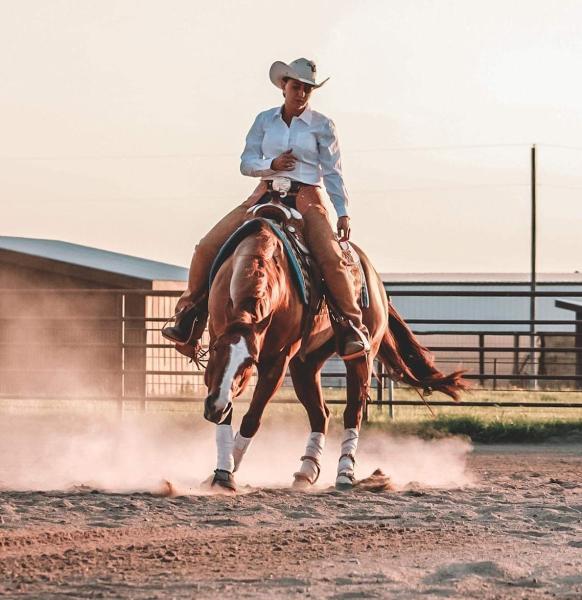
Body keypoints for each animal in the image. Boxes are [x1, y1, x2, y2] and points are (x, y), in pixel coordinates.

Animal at [201, 218, 466, 490]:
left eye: (250, 361)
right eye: (215, 348)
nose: (215, 406)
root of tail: (376, 281)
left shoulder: (277, 361)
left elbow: (252, 419)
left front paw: (227, 472)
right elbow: (227, 416)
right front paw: (222, 472)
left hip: (360, 357)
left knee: (353, 412)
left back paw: (345, 473)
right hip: (306, 364)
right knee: (321, 415)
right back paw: (306, 471)